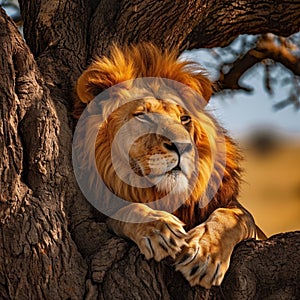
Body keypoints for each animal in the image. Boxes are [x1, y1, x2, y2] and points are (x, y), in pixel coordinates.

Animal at [74, 42, 266, 288]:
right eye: (143, 116)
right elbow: (126, 210)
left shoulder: (242, 216)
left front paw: (204, 255)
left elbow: (230, 216)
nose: (183, 146)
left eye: (184, 119)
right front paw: (160, 230)